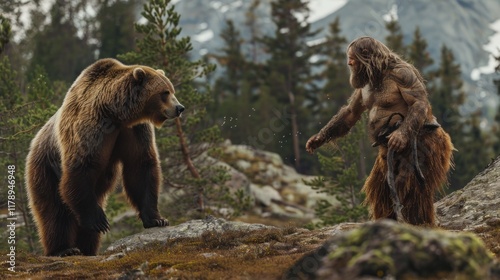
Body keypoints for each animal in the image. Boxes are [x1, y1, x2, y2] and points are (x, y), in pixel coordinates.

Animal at [23, 58, 184, 256]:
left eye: (171, 90)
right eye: (165, 92)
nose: (179, 108)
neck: (115, 113)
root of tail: (33, 143)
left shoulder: (134, 130)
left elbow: (140, 167)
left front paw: (157, 219)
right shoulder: (89, 127)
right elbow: (81, 167)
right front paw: (99, 221)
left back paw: (86, 248)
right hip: (45, 169)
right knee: (55, 213)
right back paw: (65, 249)